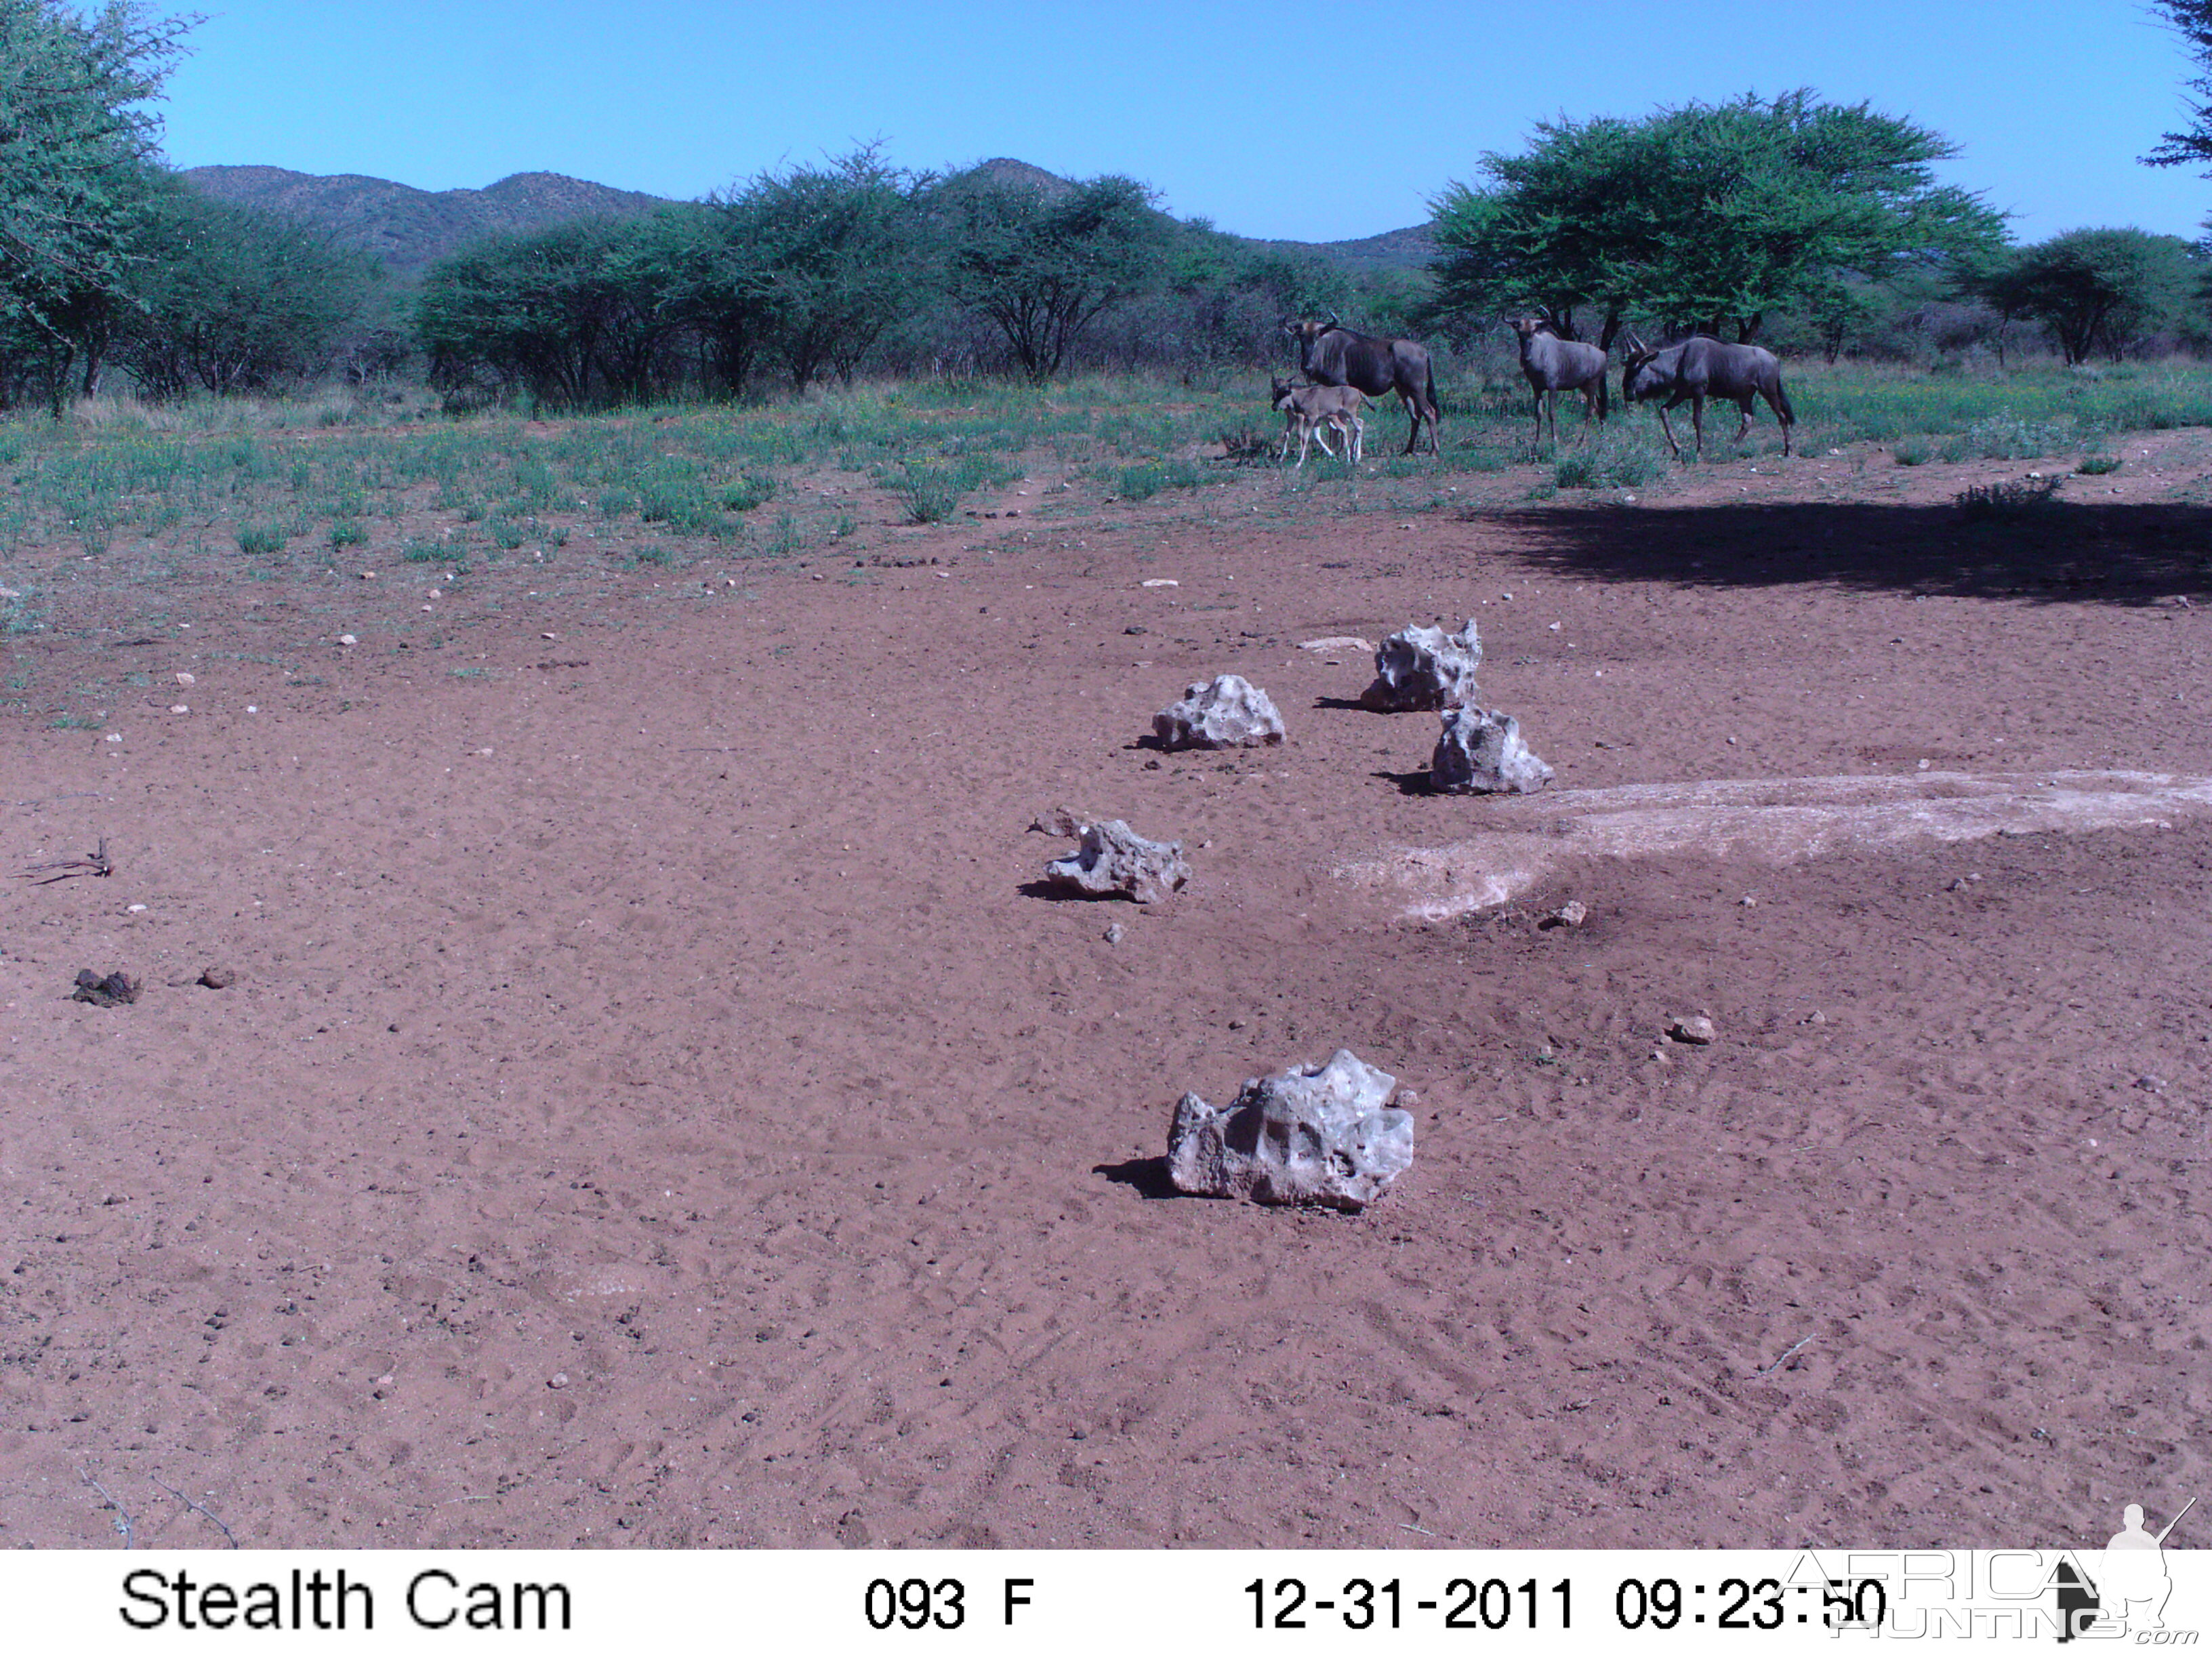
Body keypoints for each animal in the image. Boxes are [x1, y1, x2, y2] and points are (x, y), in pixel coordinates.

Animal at [1628, 333, 1796, 462]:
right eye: (1627, 366)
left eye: (1636, 368)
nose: (1628, 394)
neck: (1681, 359)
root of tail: (1774, 360)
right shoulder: (1682, 393)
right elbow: (1664, 410)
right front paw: (1677, 448)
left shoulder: (1698, 391)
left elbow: (1697, 419)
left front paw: (1699, 451)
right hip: (1745, 396)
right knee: (1748, 420)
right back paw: (1731, 448)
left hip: (1768, 391)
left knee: (1781, 416)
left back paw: (1788, 450)